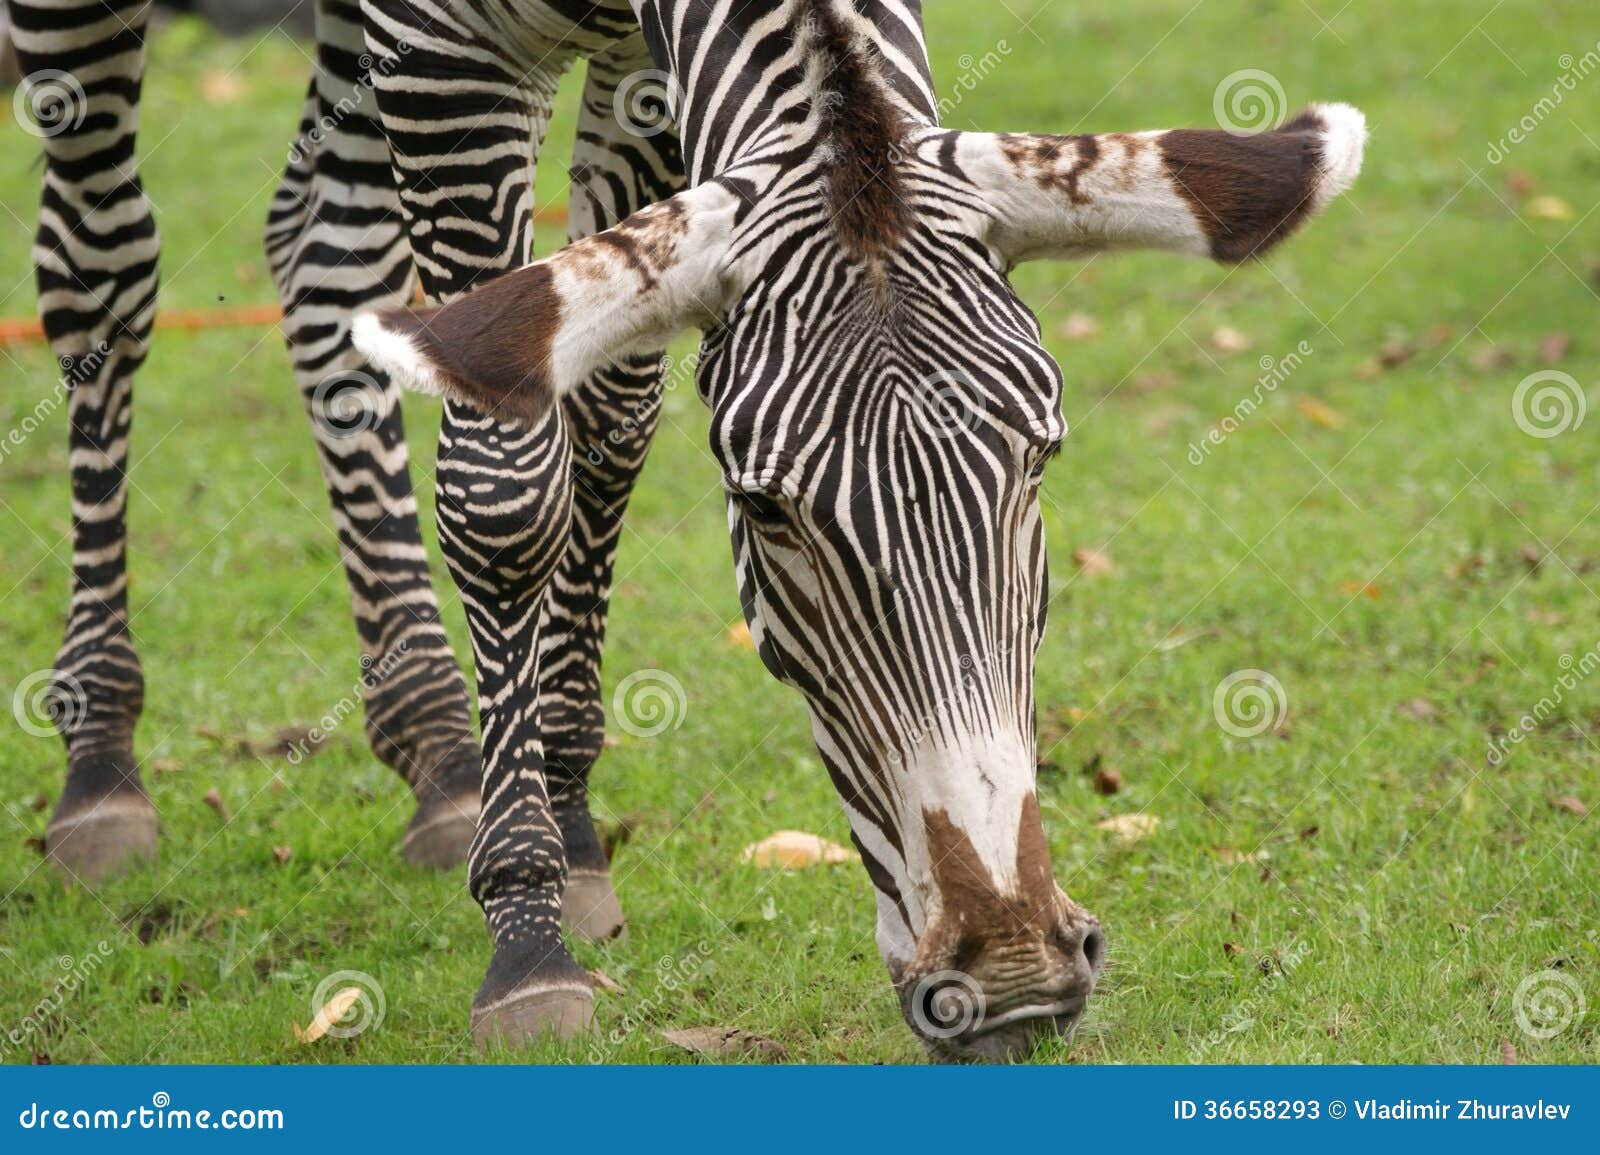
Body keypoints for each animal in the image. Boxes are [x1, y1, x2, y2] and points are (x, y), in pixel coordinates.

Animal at [354, 0, 1365, 1059]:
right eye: (764, 507)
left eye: (1042, 459)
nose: (1013, 980)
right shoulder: (438, 61)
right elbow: (505, 481)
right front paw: (526, 938)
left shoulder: (649, 86)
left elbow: (603, 408)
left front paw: (567, 817)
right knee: (323, 262)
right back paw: (440, 753)